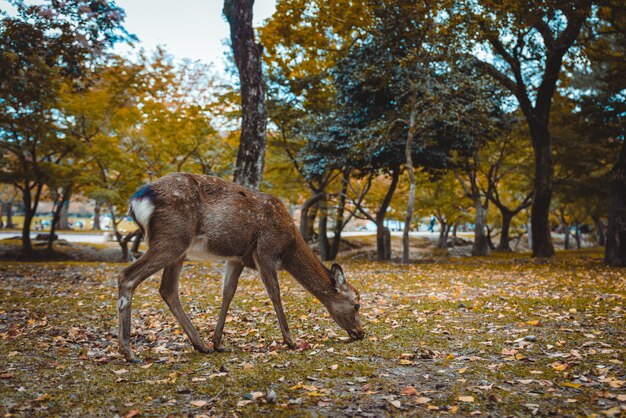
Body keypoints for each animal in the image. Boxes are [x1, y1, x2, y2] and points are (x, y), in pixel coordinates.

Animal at [117, 172, 364, 362]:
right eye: (356, 304)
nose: (361, 333)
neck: (289, 245)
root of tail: (136, 200)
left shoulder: (236, 258)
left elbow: (228, 292)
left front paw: (218, 342)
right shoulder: (266, 251)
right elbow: (275, 293)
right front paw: (291, 341)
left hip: (179, 248)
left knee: (168, 289)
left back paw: (201, 345)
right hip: (172, 237)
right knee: (127, 276)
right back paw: (129, 352)